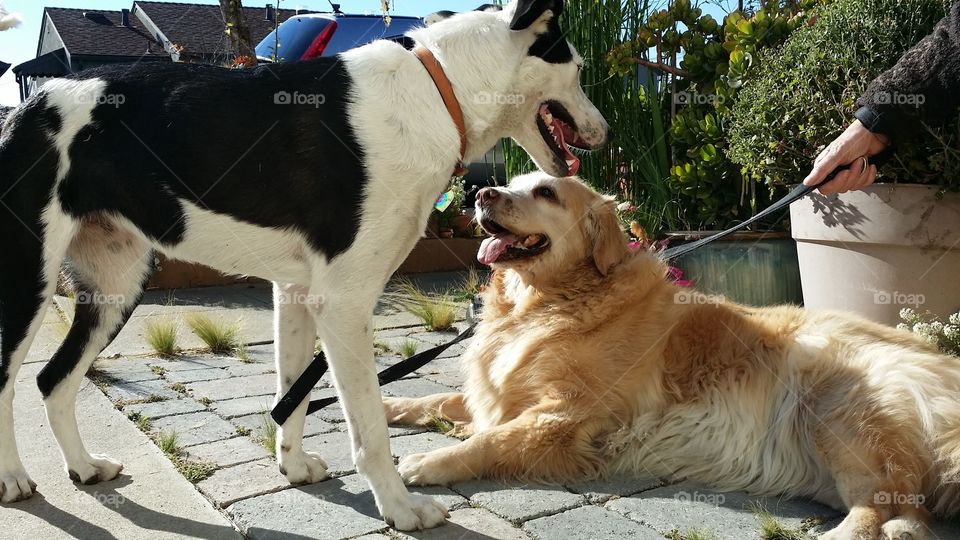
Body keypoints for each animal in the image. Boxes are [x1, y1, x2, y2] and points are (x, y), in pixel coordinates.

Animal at [0, 0, 608, 528]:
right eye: (578, 70)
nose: (604, 133)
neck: (439, 91)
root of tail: (31, 104)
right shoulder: (344, 305)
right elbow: (369, 429)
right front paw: (400, 508)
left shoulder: (295, 293)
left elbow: (291, 396)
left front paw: (291, 466)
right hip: (28, 284)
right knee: (8, 381)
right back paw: (12, 479)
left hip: (115, 289)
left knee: (54, 379)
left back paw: (83, 467)